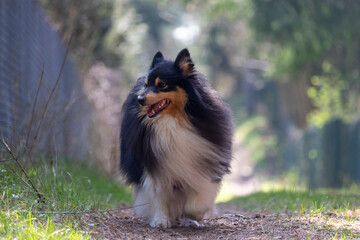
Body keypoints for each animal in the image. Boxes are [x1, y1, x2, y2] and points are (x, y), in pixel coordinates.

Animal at [119, 48, 233, 229]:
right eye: (146, 84)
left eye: (162, 85)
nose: (139, 100)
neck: (172, 120)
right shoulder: (153, 165)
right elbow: (157, 194)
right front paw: (161, 221)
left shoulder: (201, 164)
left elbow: (196, 198)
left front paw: (194, 215)